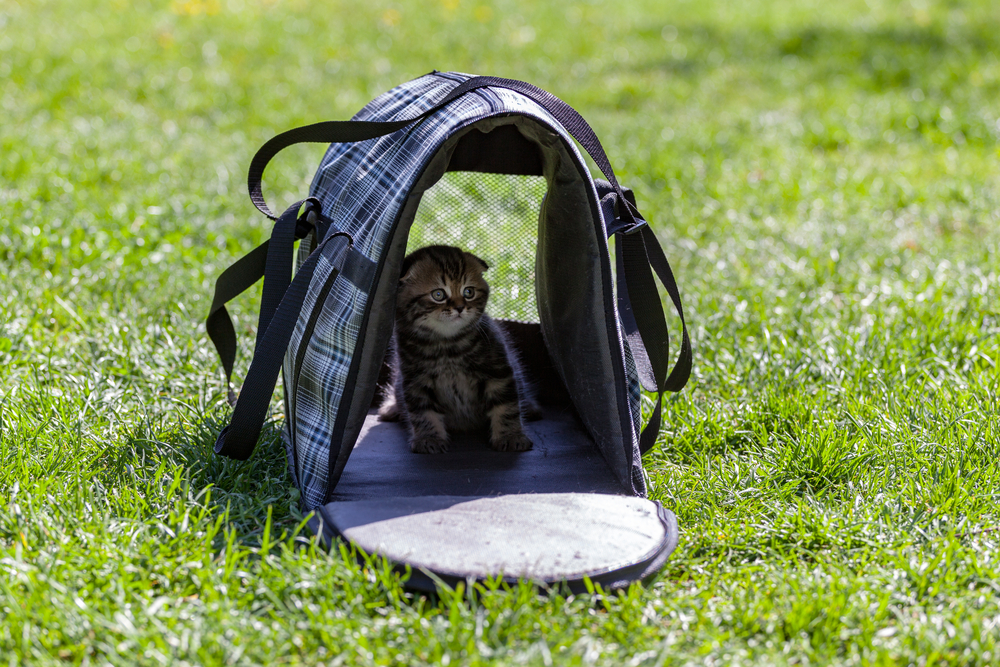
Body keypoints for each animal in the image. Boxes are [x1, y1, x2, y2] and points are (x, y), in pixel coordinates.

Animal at [378, 245, 544, 454]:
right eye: (438, 295)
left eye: (468, 292)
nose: (459, 307)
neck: (447, 345)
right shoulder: (414, 379)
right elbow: (423, 412)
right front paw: (429, 438)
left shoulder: (498, 370)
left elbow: (507, 407)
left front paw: (511, 436)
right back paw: (391, 408)